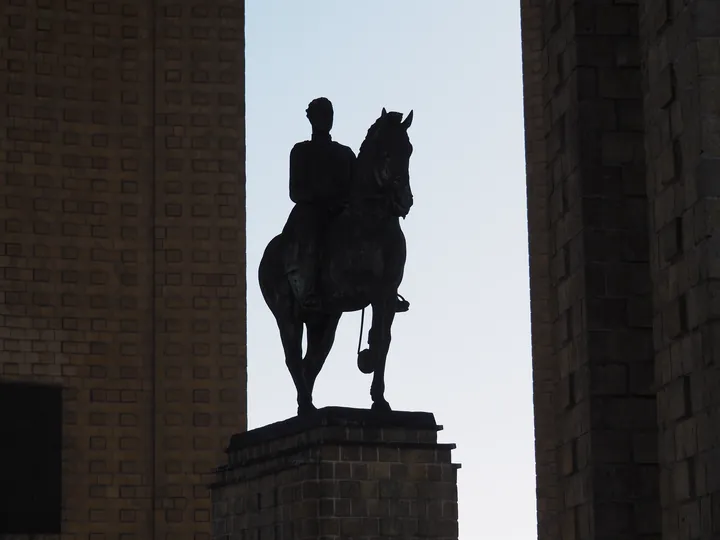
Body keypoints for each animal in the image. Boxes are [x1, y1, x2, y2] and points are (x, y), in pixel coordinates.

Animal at [258, 108, 416, 414]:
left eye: (409, 150)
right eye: (386, 152)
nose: (404, 200)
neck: (371, 224)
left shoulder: (387, 293)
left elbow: (383, 339)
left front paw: (380, 400)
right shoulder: (364, 290)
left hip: (325, 320)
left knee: (312, 361)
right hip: (286, 313)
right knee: (293, 356)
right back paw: (306, 407)